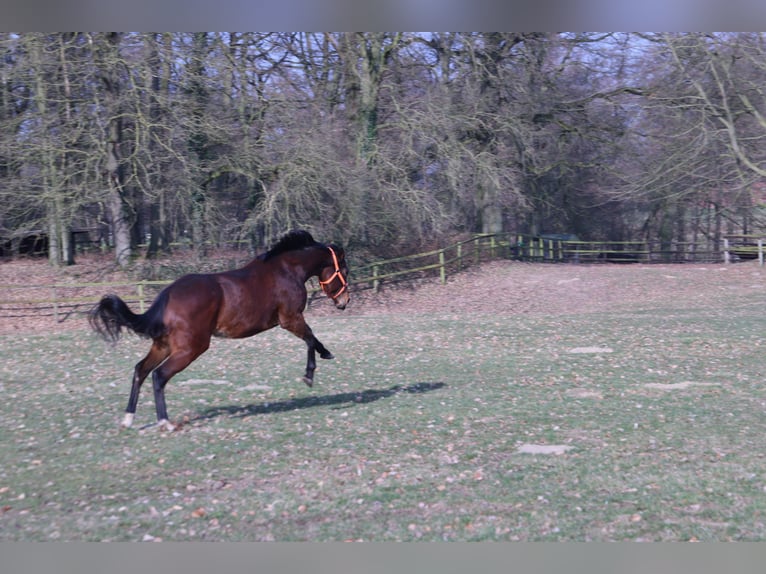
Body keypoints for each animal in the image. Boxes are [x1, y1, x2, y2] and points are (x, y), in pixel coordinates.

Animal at [90, 231, 352, 432]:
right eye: (345, 271)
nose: (345, 302)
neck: (286, 270)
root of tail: (168, 295)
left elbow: (310, 339)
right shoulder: (290, 319)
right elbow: (310, 338)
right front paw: (314, 369)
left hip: (163, 345)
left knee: (140, 371)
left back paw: (128, 420)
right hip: (191, 348)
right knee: (159, 375)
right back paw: (166, 423)